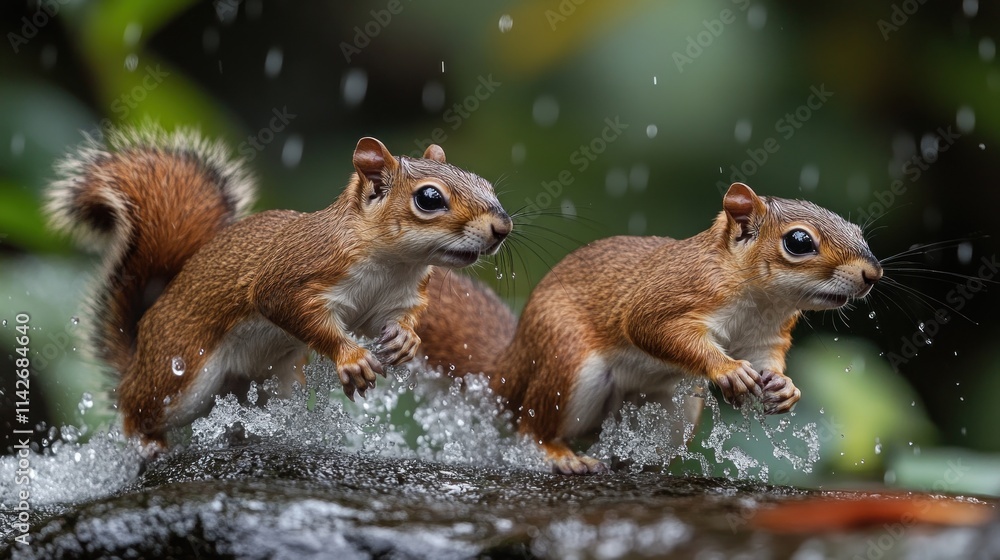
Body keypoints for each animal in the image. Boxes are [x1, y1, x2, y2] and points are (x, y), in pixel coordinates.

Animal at [46, 126, 512, 448]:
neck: (394, 264)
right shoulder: (292, 275)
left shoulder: (397, 298)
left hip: (272, 382)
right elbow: (290, 309)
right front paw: (351, 358)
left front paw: (405, 340)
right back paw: (147, 442)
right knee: (135, 407)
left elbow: (396, 320)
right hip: (179, 375)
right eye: (429, 199)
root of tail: (138, 354)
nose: (502, 227)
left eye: (485, 183)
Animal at [416, 183, 882, 474]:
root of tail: (511, 365)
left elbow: (768, 359)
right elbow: (648, 327)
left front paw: (784, 388)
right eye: (799, 242)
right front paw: (727, 369)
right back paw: (559, 454)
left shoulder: (766, 336)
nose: (872, 274)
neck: (760, 302)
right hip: (566, 361)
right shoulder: (670, 294)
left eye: (858, 231)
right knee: (531, 427)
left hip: (671, 413)